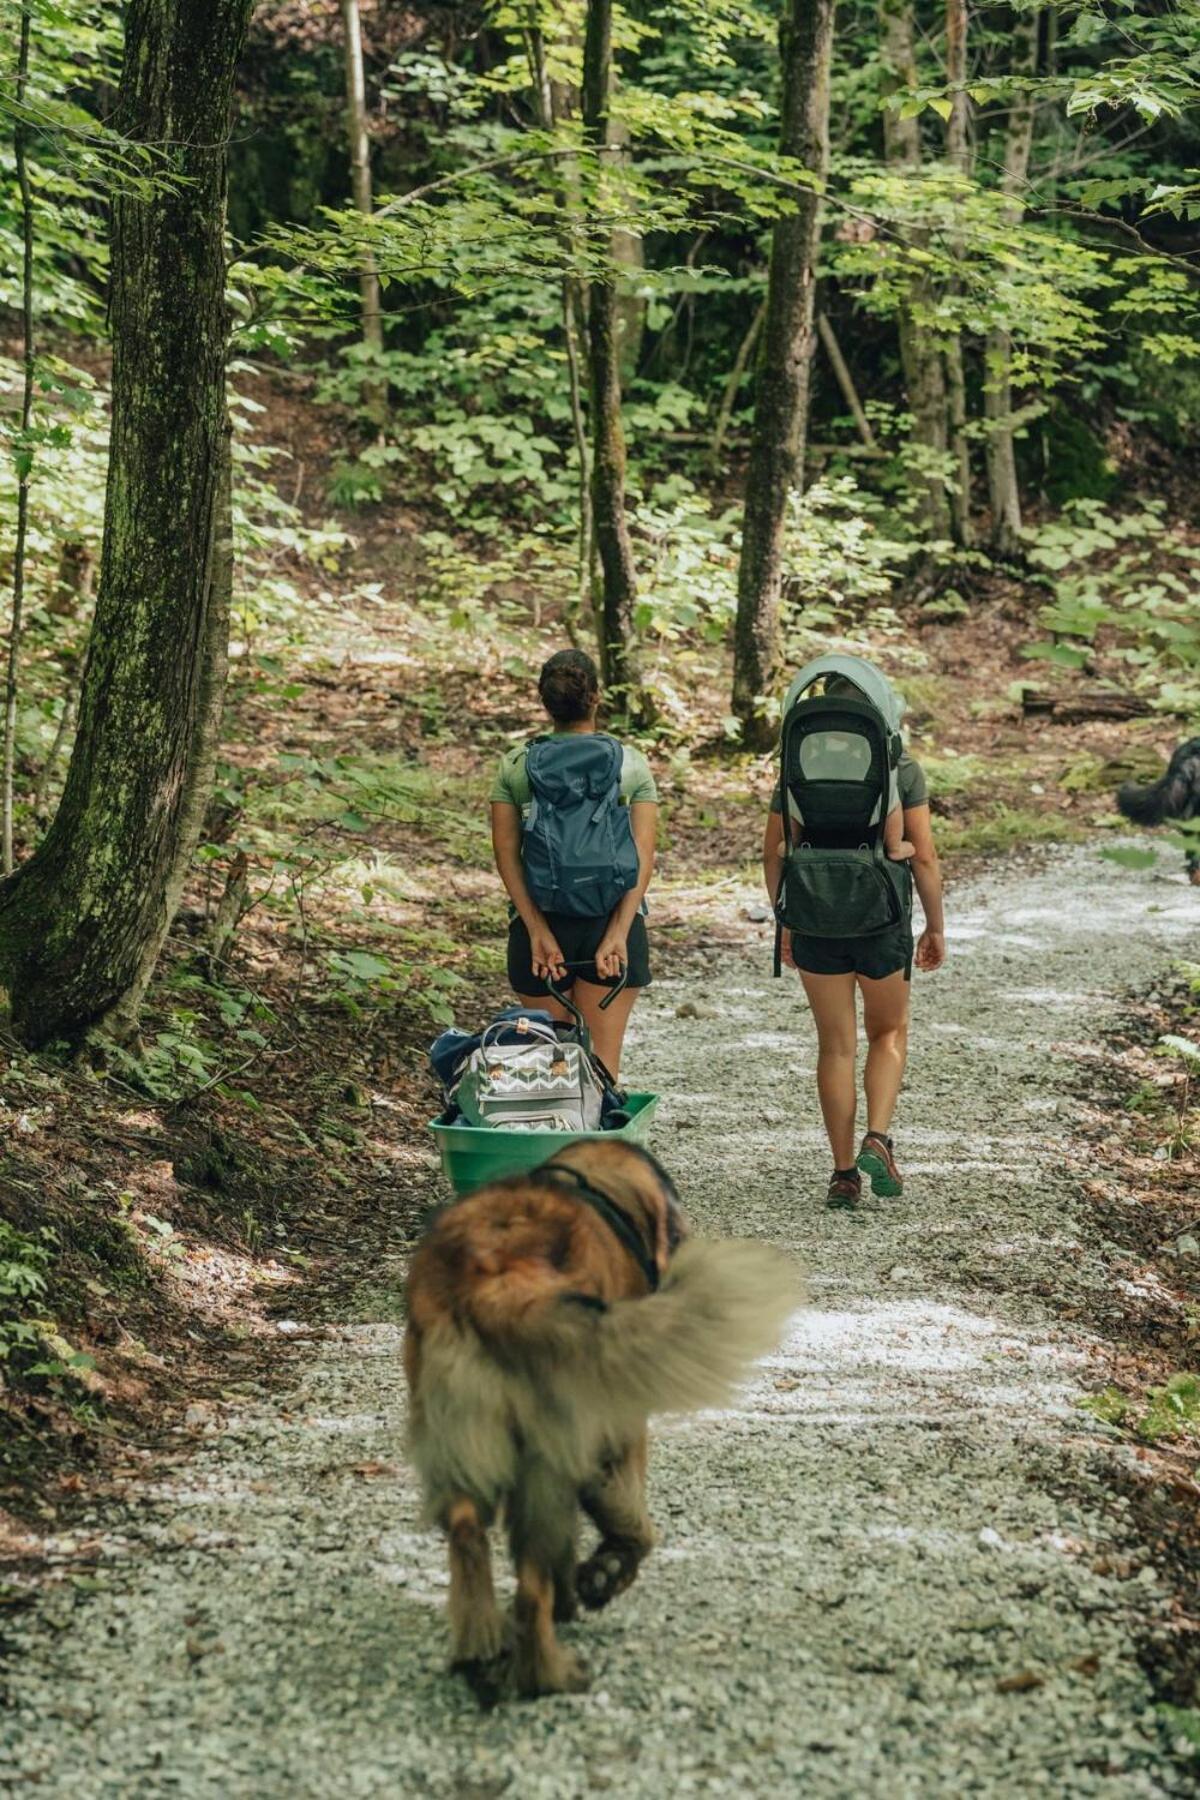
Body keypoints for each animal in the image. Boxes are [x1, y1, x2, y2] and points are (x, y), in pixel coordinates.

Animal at [406, 1137, 805, 1699]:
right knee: (531, 1584)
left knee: (468, 1535)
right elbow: (628, 1512)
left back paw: (481, 1648)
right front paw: (608, 1570)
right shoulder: (621, 1420)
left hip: (458, 1437)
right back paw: (548, 1672)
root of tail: (499, 1282)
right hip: (547, 1458)